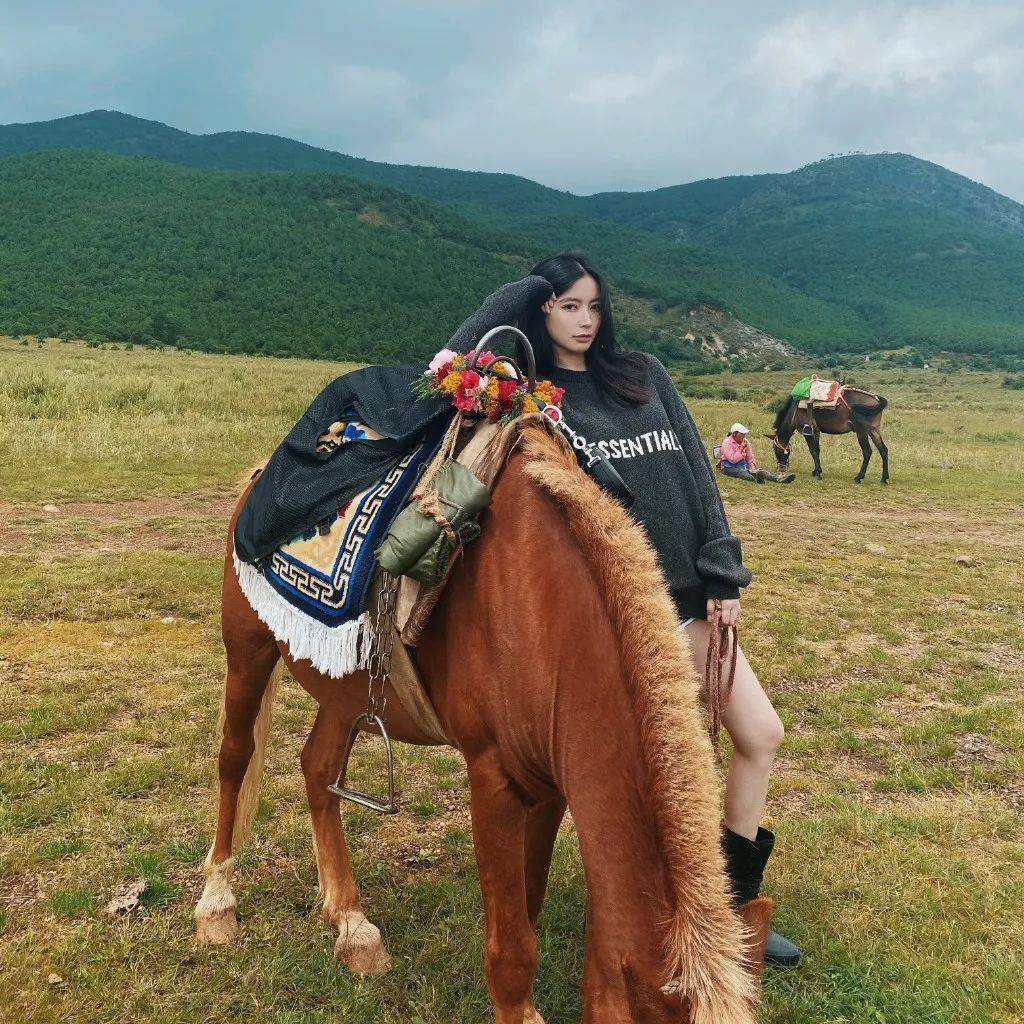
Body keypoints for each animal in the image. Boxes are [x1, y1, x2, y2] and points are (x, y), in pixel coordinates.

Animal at [193, 423, 770, 1024]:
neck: (540, 610)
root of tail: (257, 476)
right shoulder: (492, 778)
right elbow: (512, 948)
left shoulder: (549, 783)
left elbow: (527, 904)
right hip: (248, 649)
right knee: (234, 758)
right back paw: (217, 902)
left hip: (344, 689)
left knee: (317, 769)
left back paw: (352, 926)